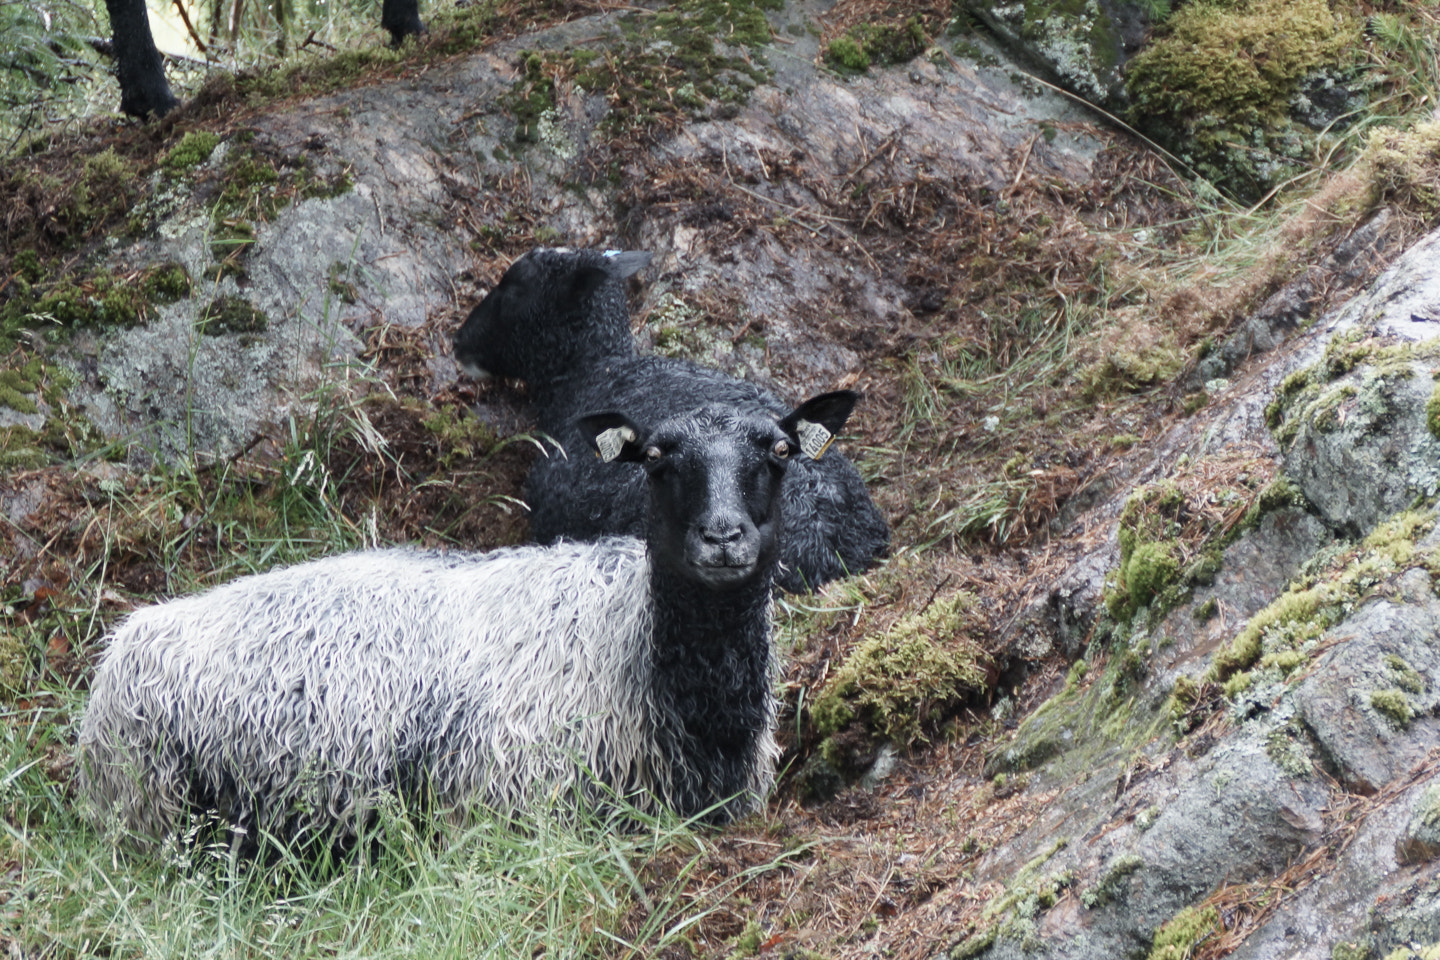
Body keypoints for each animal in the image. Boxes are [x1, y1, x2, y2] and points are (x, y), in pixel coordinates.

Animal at [78, 391, 858, 846]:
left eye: (779, 451)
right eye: (657, 457)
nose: (723, 537)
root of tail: (127, 639)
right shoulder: (506, 804)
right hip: (155, 805)